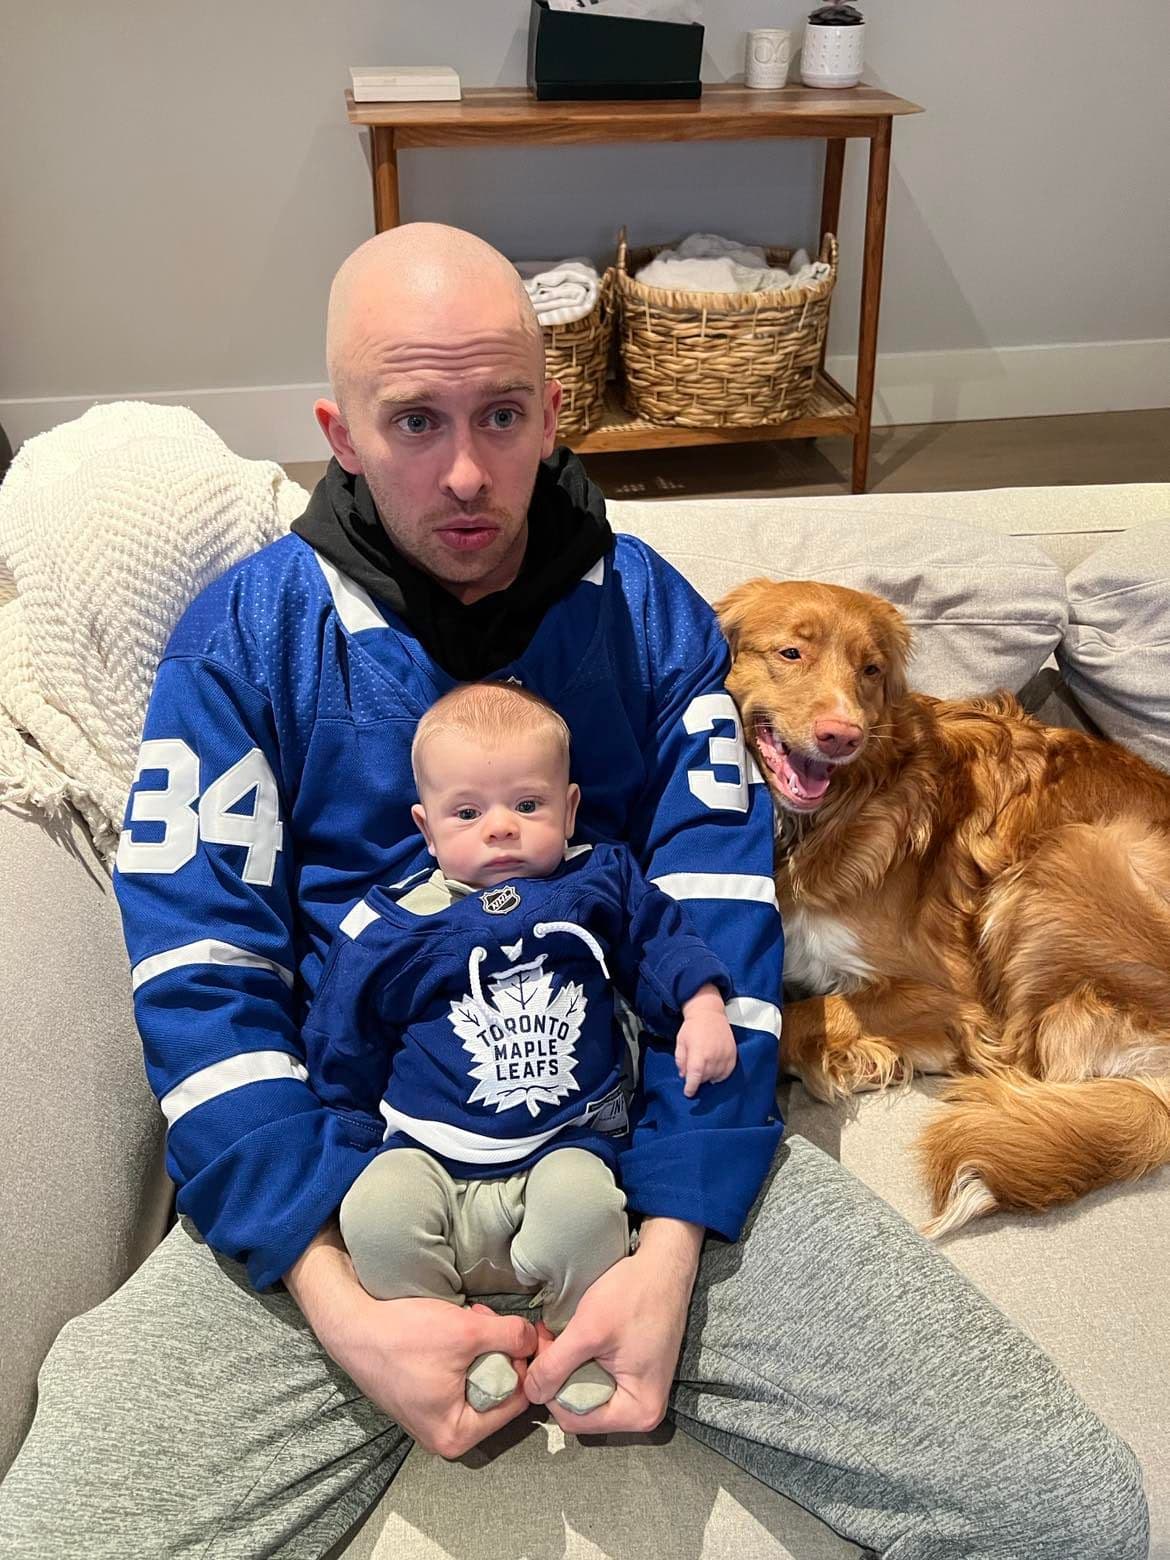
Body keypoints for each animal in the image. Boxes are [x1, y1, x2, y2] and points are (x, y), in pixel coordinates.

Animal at [714, 574, 1170, 1229]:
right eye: (791, 653)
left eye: (871, 670)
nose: (842, 736)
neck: (822, 821)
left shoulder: (951, 994)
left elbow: (802, 1015)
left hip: (1070, 855)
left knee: (1016, 1067)